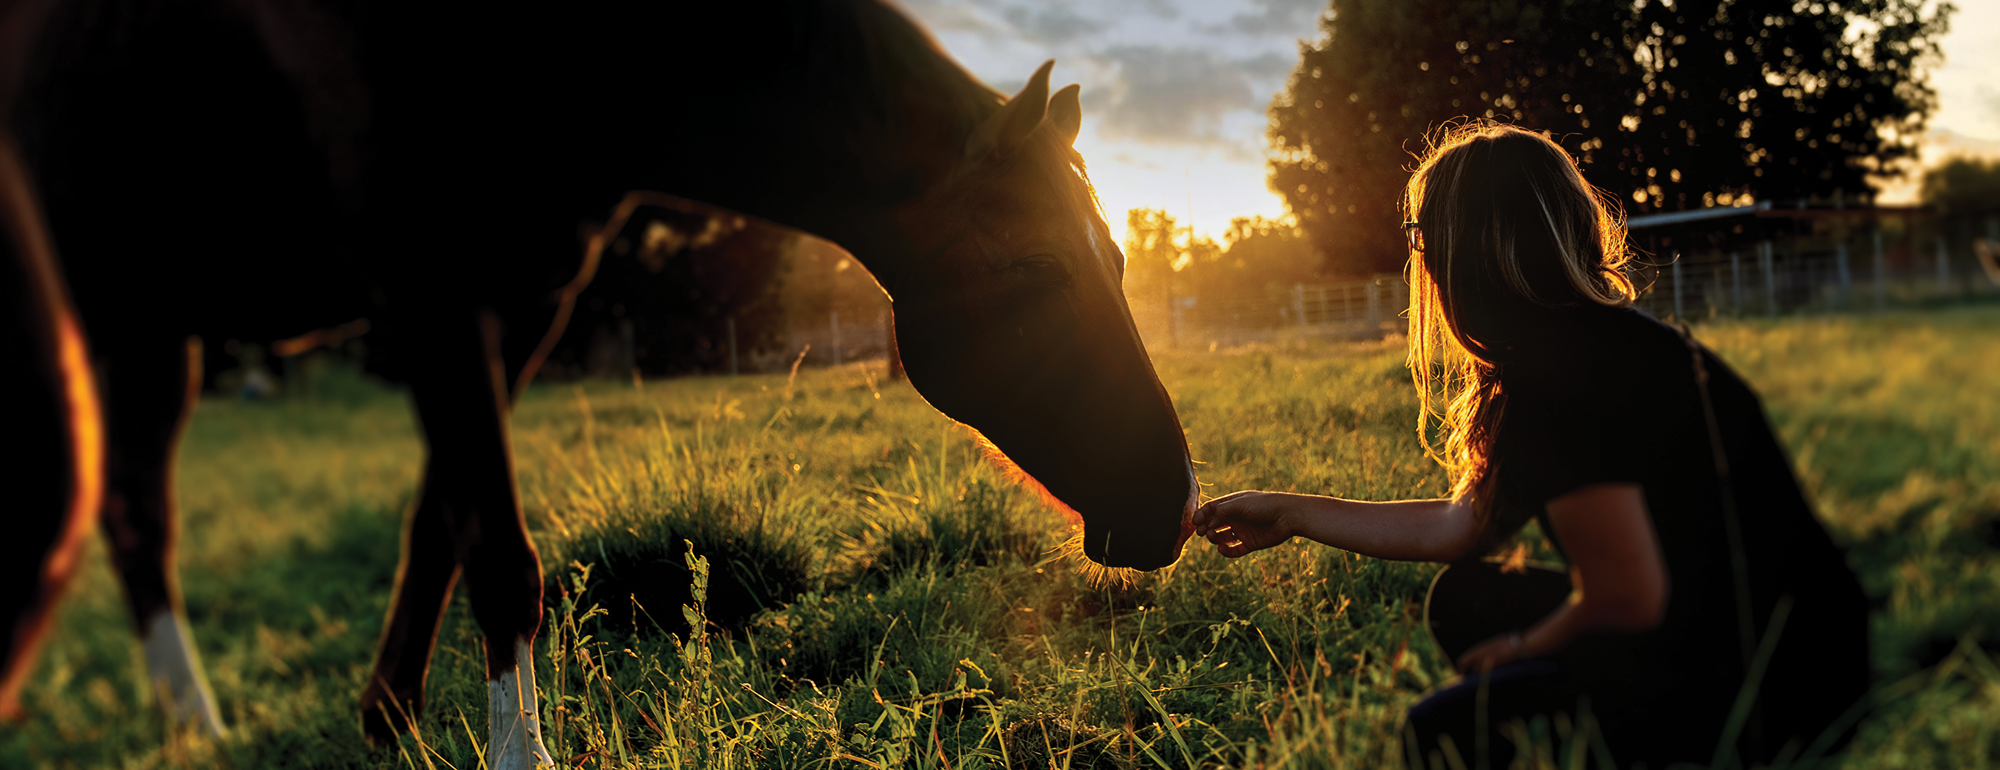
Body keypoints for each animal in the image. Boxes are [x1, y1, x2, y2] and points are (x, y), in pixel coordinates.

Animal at [0, 1, 1200, 766]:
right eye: (1032, 268)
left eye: (1120, 257)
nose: (1175, 501)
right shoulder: (432, 296)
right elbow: (499, 553)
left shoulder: (525, 307)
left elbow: (438, 530)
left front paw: (386, 719)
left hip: (152, 329)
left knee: (134, 516)